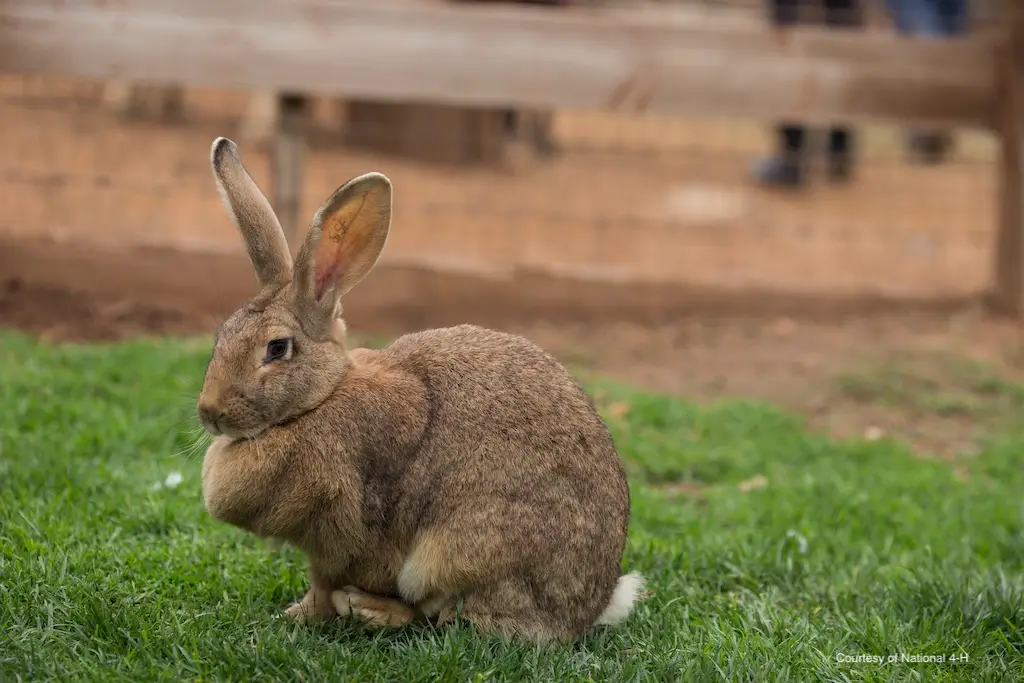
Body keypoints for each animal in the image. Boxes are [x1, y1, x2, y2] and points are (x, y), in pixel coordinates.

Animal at [197, 136, 644, 644]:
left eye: (276, 348)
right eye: (221, 337)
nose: (209, 412)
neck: (321, 399)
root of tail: (588, 610)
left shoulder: (344, 533)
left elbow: (327, 583)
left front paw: (302, 616)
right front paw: (294, 615)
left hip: (459, 554)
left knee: (448, 617)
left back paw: (370, 610)